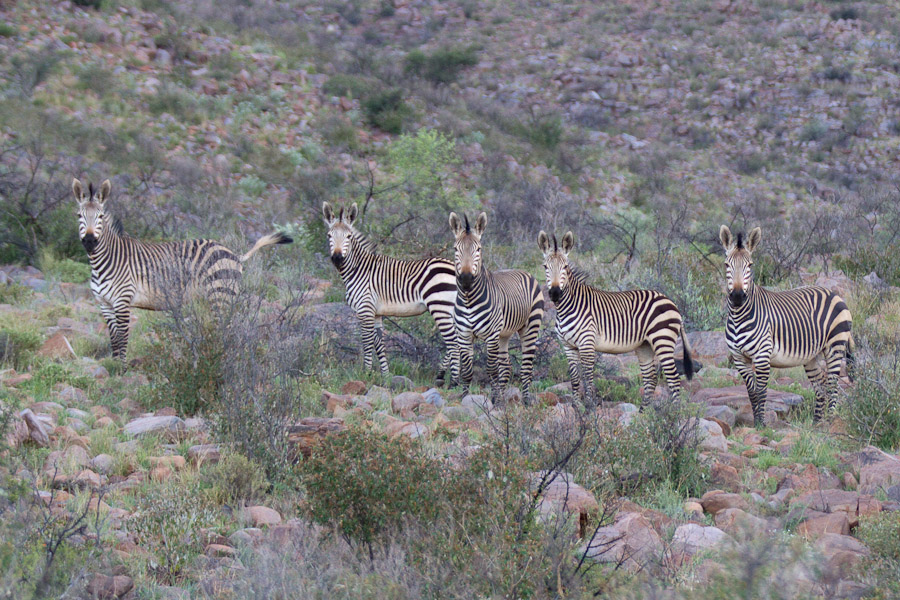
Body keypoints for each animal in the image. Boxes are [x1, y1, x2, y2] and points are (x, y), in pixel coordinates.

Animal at [74, 178, 292, 364]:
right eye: (79, 215)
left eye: (101, 216)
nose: (90, 241)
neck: (104, 261)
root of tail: (234, 254)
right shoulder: (105, 304)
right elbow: (114, 341)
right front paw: (114, 368)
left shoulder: (122, 302)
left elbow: (122, 339)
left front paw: (122, 371)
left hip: (220, 295)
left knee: (229, 330)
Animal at [322, 202, 458, 384]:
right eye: (329, 235)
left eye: (349, 236)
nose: (337, 258)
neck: (359, 269)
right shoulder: (376, 313)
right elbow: (379, 344)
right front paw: (385, 376)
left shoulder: (365, 309)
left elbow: (367, 342)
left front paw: (366, 373)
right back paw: (442, 375)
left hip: (440, 307)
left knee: (454, 343)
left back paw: (453, 382)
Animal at [448, 211, 540, 404]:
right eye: (455, 249)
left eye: (478, 249)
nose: (466, 279)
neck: (469, 300)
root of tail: (523, 270)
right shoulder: (464, 335)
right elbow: (467, 370)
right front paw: (465, 397)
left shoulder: (491, 336)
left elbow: (491, 369)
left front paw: (493, 399)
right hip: (504, 334)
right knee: (506, 366)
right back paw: (503, 397)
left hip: (530, 327)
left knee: (526, 368)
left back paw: (526, 400)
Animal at [540, 230, 696, 408]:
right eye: (545, 267)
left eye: (565, 267)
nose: (555, 293)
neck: (567, 307)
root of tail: (671, 302)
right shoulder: (568, 346)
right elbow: (574, 379)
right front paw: (577, 407)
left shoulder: (587, 343)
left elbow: (588, 378)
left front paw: (589, 407)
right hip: (645, 345)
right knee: (650, 378)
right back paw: (643, 412)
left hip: (662, 340)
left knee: (673, 378)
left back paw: (675, 412)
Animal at [720, 225, 856, 426]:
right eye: (726, 265)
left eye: (750, 265)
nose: (737, 297)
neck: (739, 317)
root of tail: (835, 294)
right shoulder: (739, 358)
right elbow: (751, 393)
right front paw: (756, 422)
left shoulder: (762, 356)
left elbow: (761, 392)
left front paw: (761, 424)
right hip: (812, 356)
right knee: (821, 387)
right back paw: (816, 425)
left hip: (835, 346)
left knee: (832, 386)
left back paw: (830, 422)